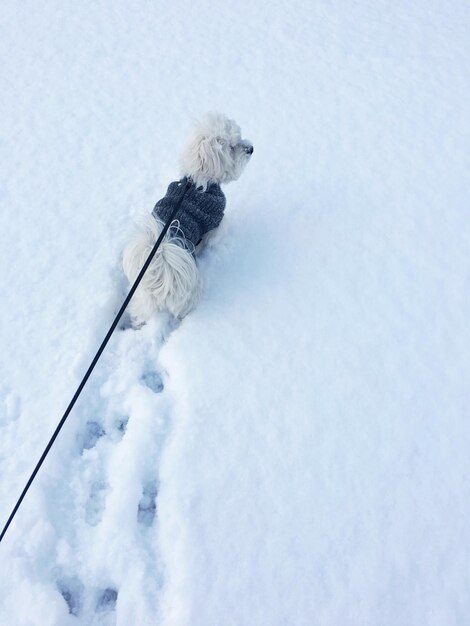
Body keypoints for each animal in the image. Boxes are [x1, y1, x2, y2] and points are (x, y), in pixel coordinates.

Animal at [123, 113, 252, 326]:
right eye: (232, 147)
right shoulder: (216, 222)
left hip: (141, 302)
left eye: (239, 136)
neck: (196, 180)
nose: (251, 148)